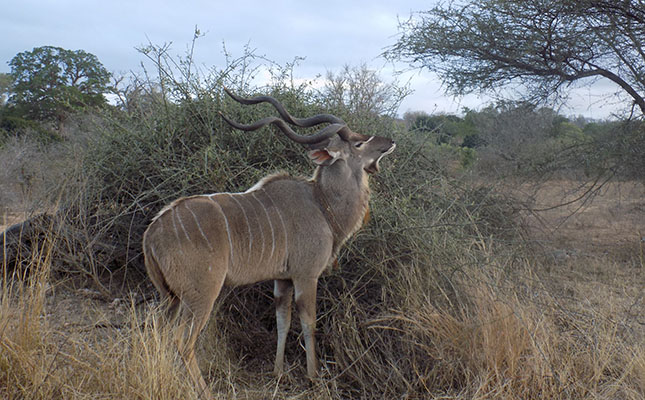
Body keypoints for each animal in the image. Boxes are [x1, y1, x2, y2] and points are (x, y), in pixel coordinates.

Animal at [143, 88, 394, 396]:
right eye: (359, 142)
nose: (389, 141)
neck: (322, 203)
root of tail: (152, 231)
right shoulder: (306, 275)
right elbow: (309, 323)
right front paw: (313, 377)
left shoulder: (282, 279)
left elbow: (282, 321)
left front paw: (278, 373)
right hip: (200, 295)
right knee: (183, 340)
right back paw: (205, 391)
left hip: (170, 297)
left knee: (158, 331)